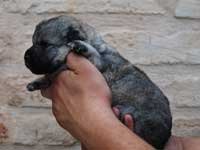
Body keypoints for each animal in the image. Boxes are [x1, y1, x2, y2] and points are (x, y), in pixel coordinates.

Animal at [24, 15, 172, 149]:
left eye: (45, 44)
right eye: (33, 42)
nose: (25, 56)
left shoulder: (97, 64)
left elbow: (92, 54)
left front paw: (82, 46)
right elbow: (50, 76)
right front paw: (36, 82)